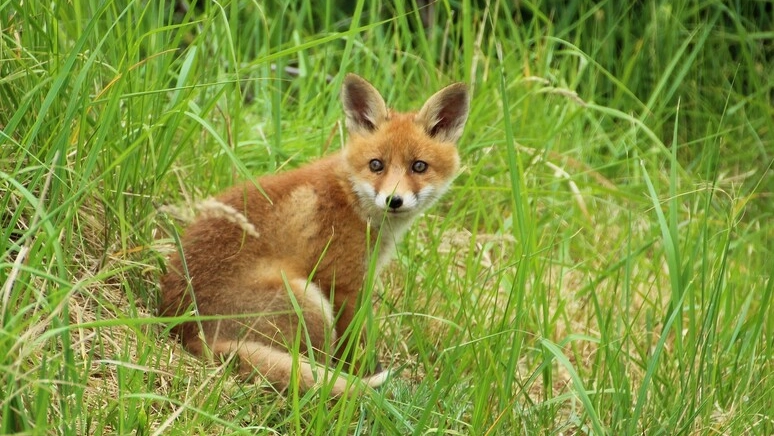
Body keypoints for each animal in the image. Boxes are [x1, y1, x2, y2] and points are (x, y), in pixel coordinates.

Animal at [161, 74, 470, 396]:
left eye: (419, 166)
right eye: (376, 165)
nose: (393, 200)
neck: (351, 198)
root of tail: (190, 333)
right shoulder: (342, 284)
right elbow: (352, 346)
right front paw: (361, 373)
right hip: (311, 302)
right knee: (316, 364)